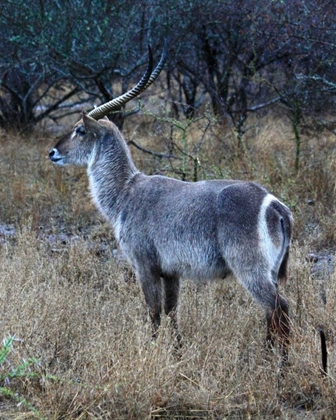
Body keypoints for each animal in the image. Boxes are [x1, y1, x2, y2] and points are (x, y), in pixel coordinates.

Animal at [48, 44, 292, 362]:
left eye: (79, 129)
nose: (52, 152)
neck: (126, 191)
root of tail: (275, 205)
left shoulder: (144, 264)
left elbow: (153, 311)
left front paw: (150, 353)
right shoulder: (171, 272)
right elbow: (171, 311)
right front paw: (176, 352)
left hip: (250, 268)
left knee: (279, 309)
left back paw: (279, 364)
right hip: (269, 272)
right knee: (270, 314)